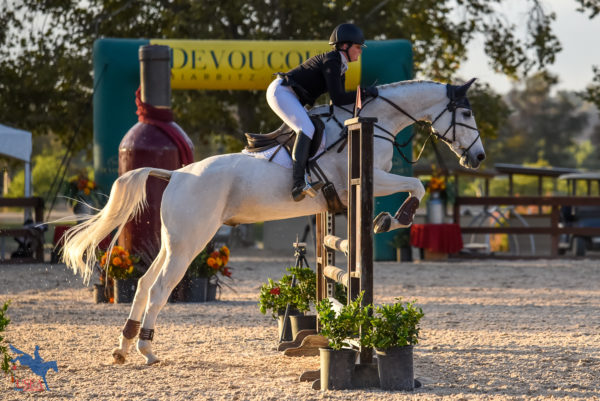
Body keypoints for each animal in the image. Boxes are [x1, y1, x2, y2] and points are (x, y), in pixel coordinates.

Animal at [62, 76, 482, 364]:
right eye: (465, 113)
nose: (476, 158)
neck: (372, 122)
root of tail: (176, 174)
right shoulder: (366, 183)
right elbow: (417, 185)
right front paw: (390, 219)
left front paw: (386, 219)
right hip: (191, 242)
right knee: (162, 287)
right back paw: (147, 350)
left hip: (174, 240)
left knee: (145, 283)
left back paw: (124, 347)